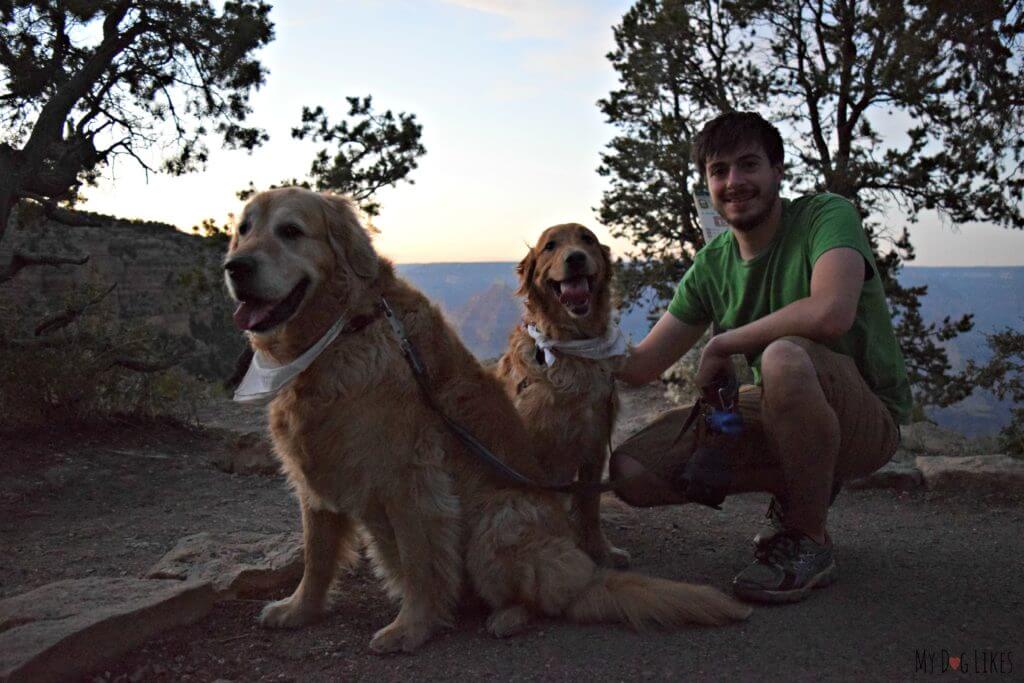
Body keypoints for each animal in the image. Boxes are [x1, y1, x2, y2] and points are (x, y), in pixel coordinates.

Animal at [226, 189, 753, 655]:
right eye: (243, 230)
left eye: (291, 231)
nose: (235, 267)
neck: (339, 335)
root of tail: (583, 577)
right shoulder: (315, 473)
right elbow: (316, 555)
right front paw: (299, 610)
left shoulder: (411, 480)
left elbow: (419, 562)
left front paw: (411, 627)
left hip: (497, 523)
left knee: (543, 598)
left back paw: (508, 615)